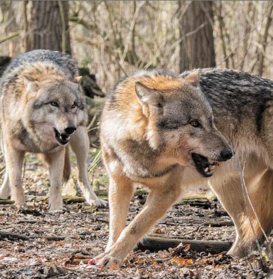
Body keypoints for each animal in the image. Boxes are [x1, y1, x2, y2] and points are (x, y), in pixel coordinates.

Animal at [0, 50, 106, 212]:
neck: (36, 137)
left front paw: (56, 209)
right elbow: (16, 179)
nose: (70, 128)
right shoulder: (13, 149)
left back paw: (93, 200)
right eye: (54, 103)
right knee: (7, 174)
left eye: (73, 105)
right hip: (3, 145)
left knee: (81, 175)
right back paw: (3, 195)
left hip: (81, 141)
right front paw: (21, 206)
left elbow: (55, 183)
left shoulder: (57, 151)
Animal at [95, 69, 232, 266]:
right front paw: (107, 253)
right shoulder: (119, 183)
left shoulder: (167, 192)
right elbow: (115, 227)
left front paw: (113, 257)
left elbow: (134, 226)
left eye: (211, 121)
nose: (229, 153)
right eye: (194, 123)